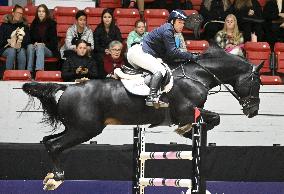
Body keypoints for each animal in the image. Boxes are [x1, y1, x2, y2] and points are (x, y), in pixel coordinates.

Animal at [22, 44, 264, 190]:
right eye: (257, 82)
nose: (253, 111)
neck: (198, 75)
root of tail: (69, 87)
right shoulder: (186, 110)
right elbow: (213, 119)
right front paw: (186, 131)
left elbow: (207, 122)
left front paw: (187, 132)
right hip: (85, 130)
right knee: (55, 145)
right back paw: (58, 177)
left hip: (75, 128)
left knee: (48, 141)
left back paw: (51, 176)